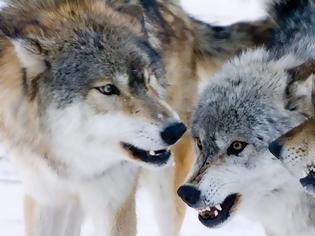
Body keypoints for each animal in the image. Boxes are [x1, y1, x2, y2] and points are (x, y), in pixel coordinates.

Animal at [0, 0, 276, 235]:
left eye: (147, 79)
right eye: (108, 88)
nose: (177, 130)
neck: (74, 162)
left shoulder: (114, 200)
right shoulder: (45, 197)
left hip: (168, 192)